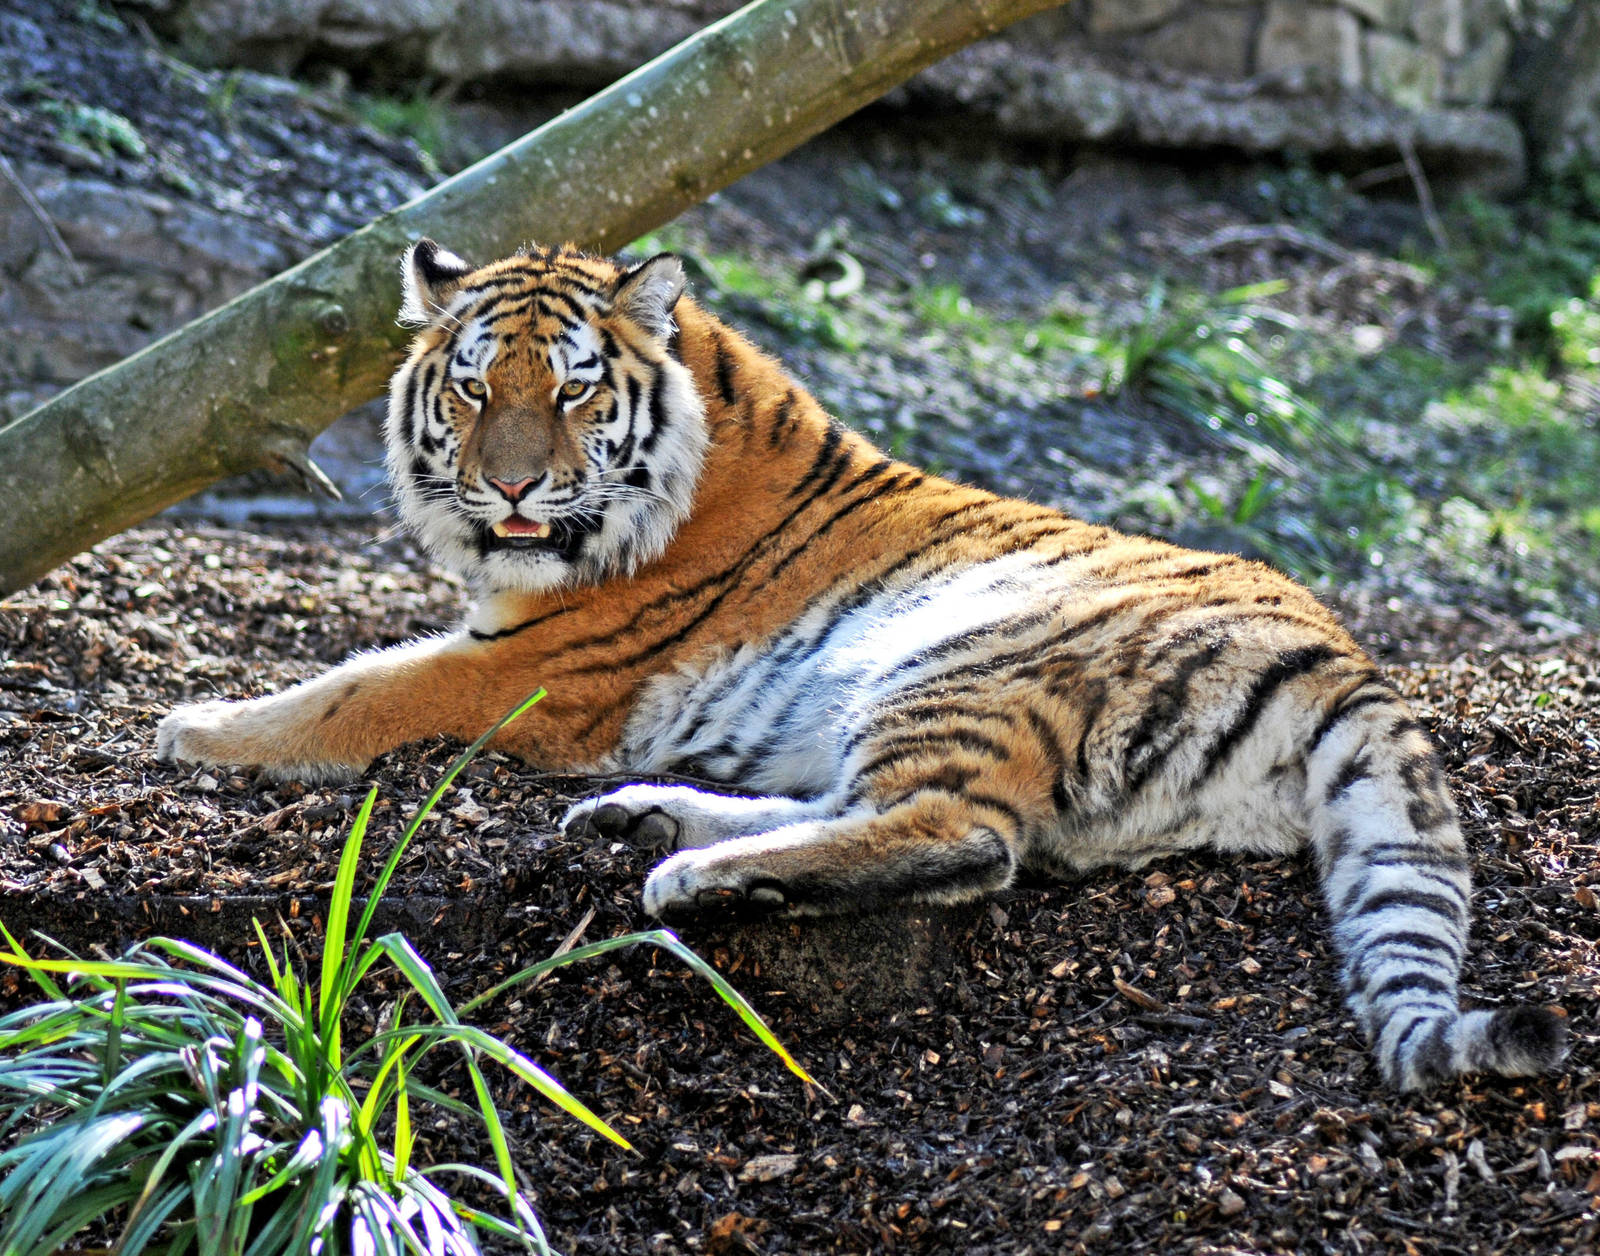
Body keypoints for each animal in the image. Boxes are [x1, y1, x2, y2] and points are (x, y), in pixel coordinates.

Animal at [157, 238, 1568, 1092]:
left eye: (567, 392)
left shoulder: (529, 667)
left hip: (960, 659)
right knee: (876, 808)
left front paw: (200, 728)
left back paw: (699, 872)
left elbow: (357, 683)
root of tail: (1347, 657)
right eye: (467, 387)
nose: (508, 486)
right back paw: (646, 818)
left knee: (964, 835)